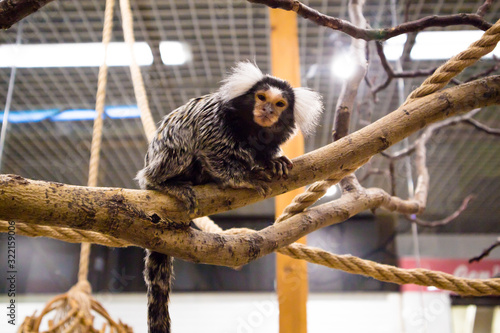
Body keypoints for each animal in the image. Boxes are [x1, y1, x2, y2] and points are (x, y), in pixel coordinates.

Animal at [136, 61, 324, 330]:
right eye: (261, 97)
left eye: (280, 104)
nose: (267, 110)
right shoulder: (213, 123)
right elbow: (212, 151)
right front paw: (246, 177)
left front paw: (273, 162)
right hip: (163, 157)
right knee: (176, 145)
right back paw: (163, 183)